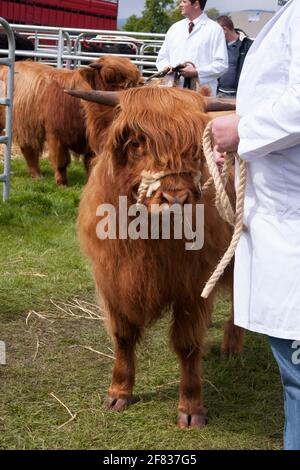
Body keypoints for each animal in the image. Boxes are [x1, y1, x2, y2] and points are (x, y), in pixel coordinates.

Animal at [74, 86, 244, 428]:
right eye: (136, 142)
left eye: (195, 149)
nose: (176, 199)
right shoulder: (112, 280)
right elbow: (123, 337)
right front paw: (119, 392)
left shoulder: (193, 285)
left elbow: (188, 345)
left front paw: (191, 409)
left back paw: (231, 345)